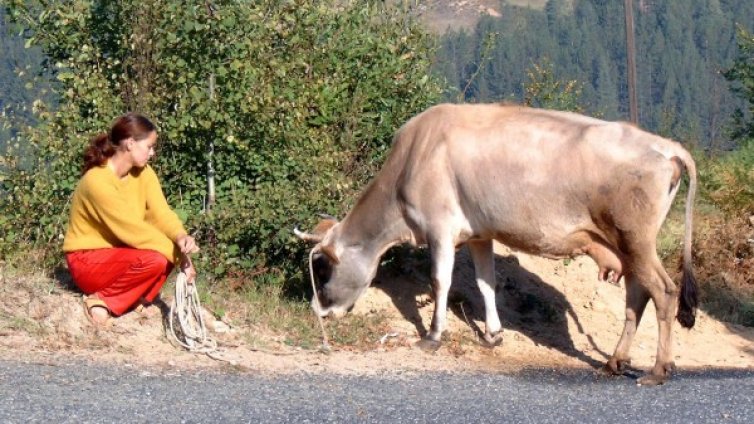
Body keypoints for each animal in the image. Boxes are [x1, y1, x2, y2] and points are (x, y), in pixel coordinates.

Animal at [294, 103, 692, 388]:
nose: (317, 309)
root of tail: (665, 146)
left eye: (322, 268)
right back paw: (615, 361)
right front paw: (492, 334)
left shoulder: (440, 228)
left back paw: (659, 369)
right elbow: (486, 282)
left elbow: (441, 282)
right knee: (637, 296)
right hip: (628, 246)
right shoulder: (479, 233)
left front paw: (433, 336)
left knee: (664, 292)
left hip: (636, 240)